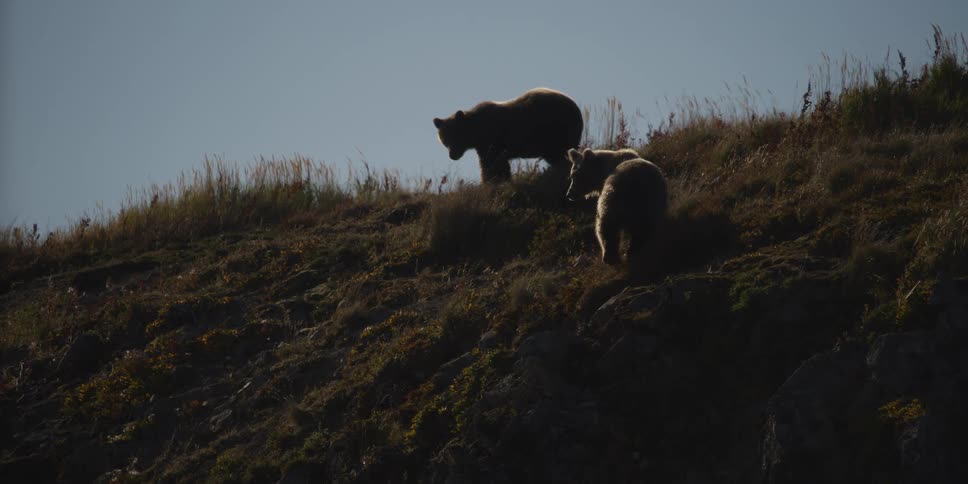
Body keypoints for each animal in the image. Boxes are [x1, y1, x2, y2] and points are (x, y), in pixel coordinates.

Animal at [433, 88, 584, 184]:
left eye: (455, 136)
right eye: (444, 140)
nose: (452, 155)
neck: (477, 131)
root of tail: (576, 107)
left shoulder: (492, 140)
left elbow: (492, 164)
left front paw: (492, 181)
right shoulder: (485, 145)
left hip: (555, 129)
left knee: (560, 154)